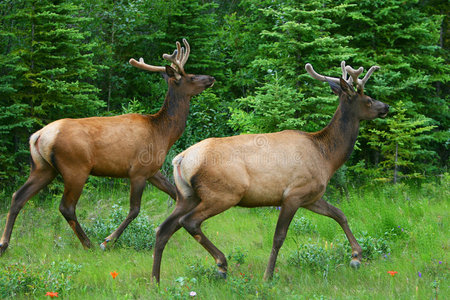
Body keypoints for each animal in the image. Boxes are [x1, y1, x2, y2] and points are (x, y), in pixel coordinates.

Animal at [0, 39, 215, 255]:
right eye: (191, 76)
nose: (211, 78)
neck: (163, 133)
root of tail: (38, 136)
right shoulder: (138, 171)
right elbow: (134, 209)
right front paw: (108, 240)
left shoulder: (152, 171)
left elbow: (174, 194)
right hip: (75, 168)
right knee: (66, 207)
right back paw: (89, 243)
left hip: (43, 167)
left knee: (18, 196)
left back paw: (4, 243)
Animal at [152, 60, 390, 282]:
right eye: (368, 99)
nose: (386, 106)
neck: (327, 157)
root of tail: (180, 159)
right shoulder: (294, 194)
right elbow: (279, 236)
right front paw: (268, 275)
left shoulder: (312, 197)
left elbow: (340, 215)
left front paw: (356, 256)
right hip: (223, 193)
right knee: (189, 222)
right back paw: (221, 263)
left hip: (186, 196)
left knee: (163, 229)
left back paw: (156, 280)